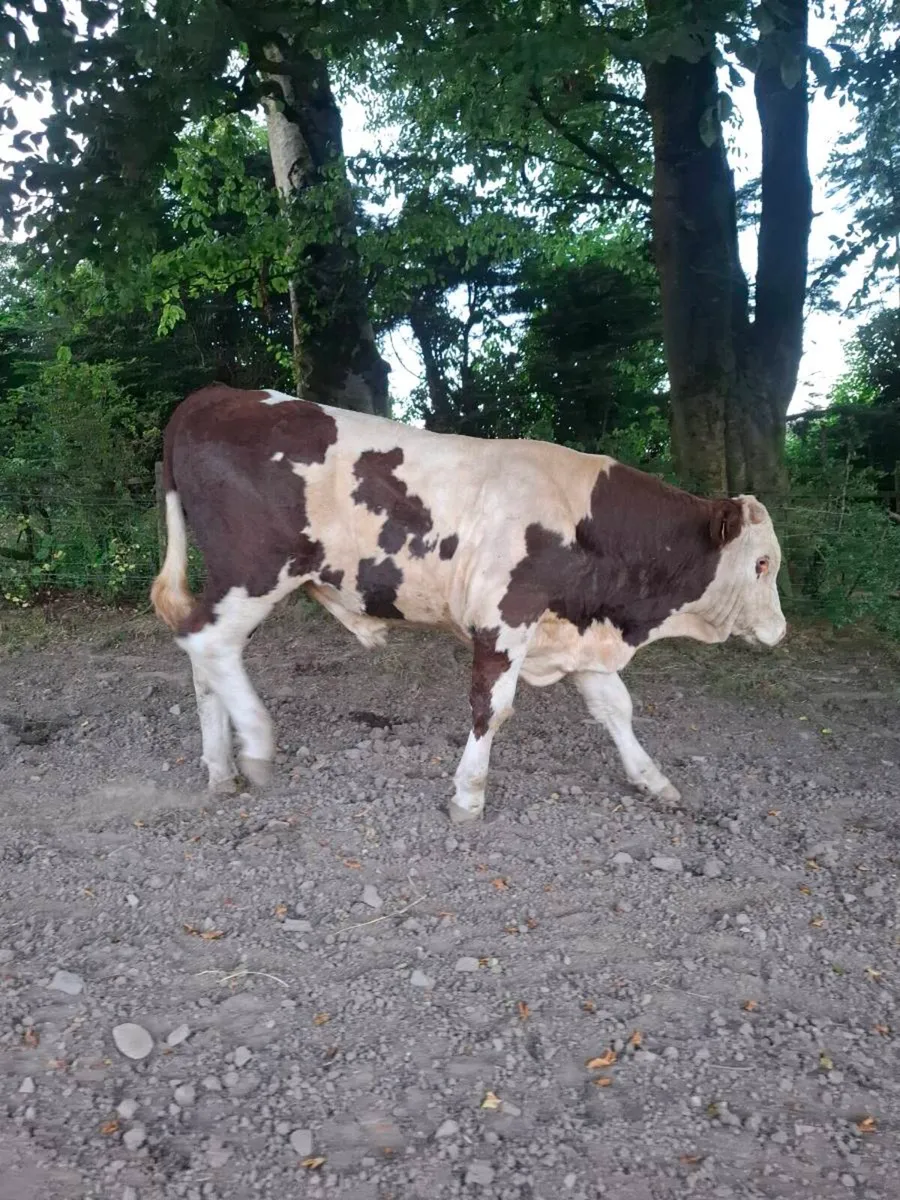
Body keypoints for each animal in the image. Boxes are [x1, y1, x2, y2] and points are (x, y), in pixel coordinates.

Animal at [151, 384, 786, 823]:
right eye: (761, 563)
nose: (779, 631)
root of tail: (215, 394)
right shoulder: (504, 619)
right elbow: (492, 709)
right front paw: (469, 796)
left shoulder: (576, 632)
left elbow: (616, 709)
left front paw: (652, 779)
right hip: (254, 569)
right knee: (208, 643)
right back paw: (256, 746)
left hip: (233, 582)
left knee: (206, 655)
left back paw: (221, 768)